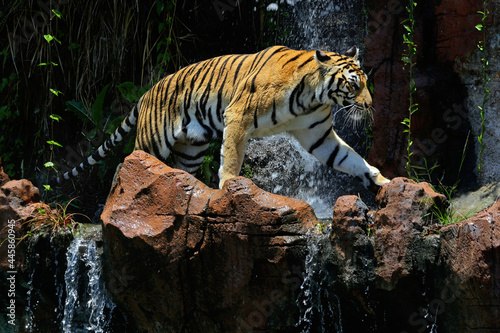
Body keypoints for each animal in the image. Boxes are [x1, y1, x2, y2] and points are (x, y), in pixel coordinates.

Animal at [60, 45, 390, 188]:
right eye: (354, 85)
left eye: (366, 83)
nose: (370, 105)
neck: (313, 96)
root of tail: (148, 91)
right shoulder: (238, 116)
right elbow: (231, 157)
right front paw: (229, 188)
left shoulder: (318, 135)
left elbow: (348, 157)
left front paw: (380, 179)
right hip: (151, 142)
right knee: (125, 166)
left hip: (192, 149)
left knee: (179, 169)